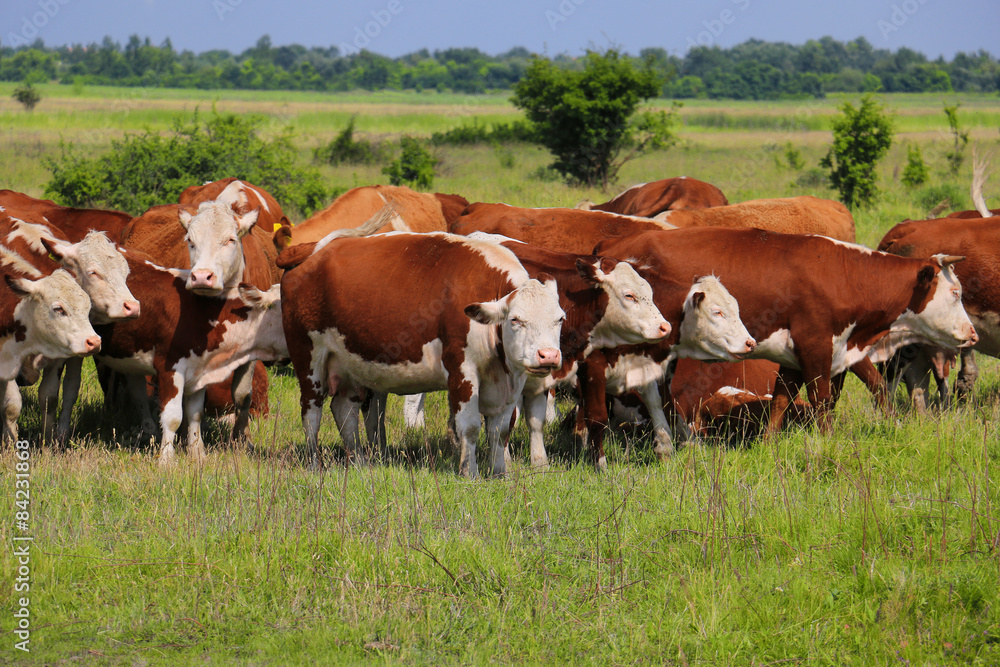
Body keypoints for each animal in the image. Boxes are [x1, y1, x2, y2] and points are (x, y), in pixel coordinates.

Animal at [93, 250, 286, 464]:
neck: (201, 315)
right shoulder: (169, 368)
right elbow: (173, 417)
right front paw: (166, 460)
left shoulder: (200, 371)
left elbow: (195, 414)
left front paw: (197, 455)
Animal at [278, 231, 568, 480]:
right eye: (516, 319)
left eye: (560, 319)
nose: (548, 356)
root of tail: (312, 252)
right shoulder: (462, 371)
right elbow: (470, 426)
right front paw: (470, 474)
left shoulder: (509, 380)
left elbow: (500, 429)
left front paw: (499, 474)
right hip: (309, 360)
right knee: (311, 413)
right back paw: (314, 464)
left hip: (349, 364)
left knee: (344, 411)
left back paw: (359, 462)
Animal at [592, 228, 976, 438]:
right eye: (955, 293)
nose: (972, 333)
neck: (844, 276)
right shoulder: (816, 348)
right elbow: (822, 401)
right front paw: (827, 441)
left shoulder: (808, 354)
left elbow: (782, 401)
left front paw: (768, 443)